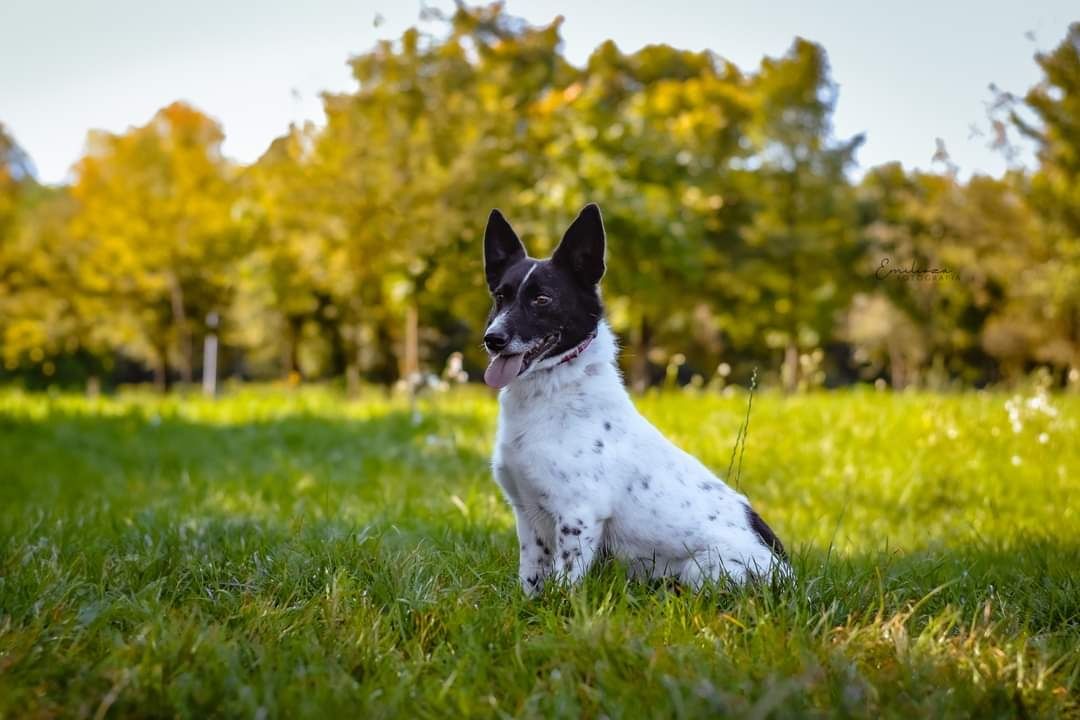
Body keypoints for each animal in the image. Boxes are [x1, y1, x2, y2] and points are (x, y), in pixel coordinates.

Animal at [483, 204, 786, 595]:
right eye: (499, 297)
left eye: (542, 299)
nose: (493, 339)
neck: (553, 391)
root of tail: (788, 574)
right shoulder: (527, 514)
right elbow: (531, 576)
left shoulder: (578, 514)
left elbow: (565, 585)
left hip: (701, 570)